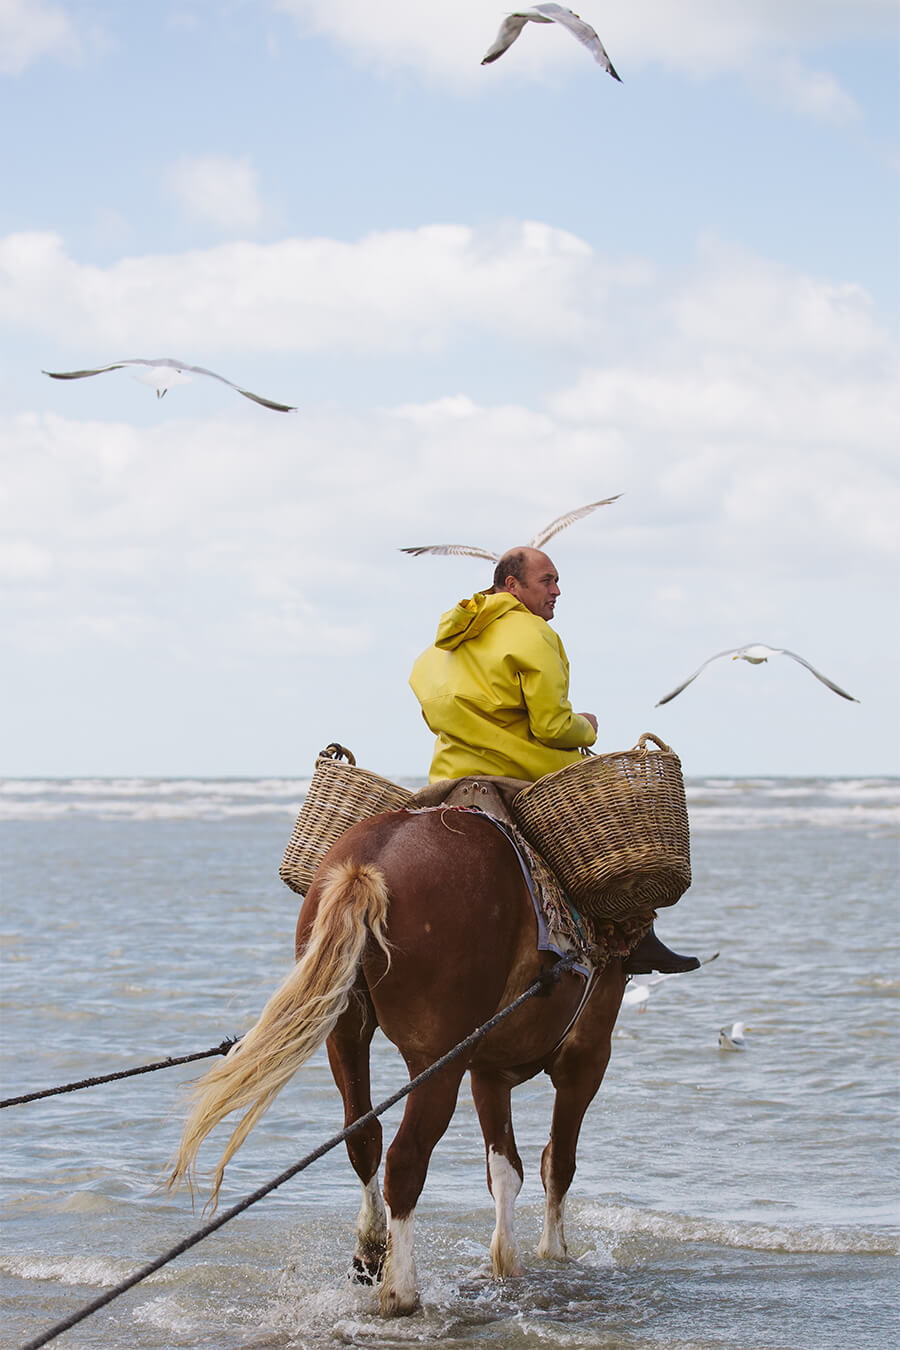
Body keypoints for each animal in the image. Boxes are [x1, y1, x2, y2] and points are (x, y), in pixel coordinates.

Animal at [167, 804, 627, 1316]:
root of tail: (368, 866)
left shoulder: (488, 1071)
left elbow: (506, 1169)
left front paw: (507, 1261)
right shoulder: (585, 1058)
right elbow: (557, 1162)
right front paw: (552, 1254)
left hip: (346, 1033)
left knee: (363, 1136)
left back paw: (370, 1253)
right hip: (437, 1059)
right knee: (406, 1158)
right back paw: (401, 1290)